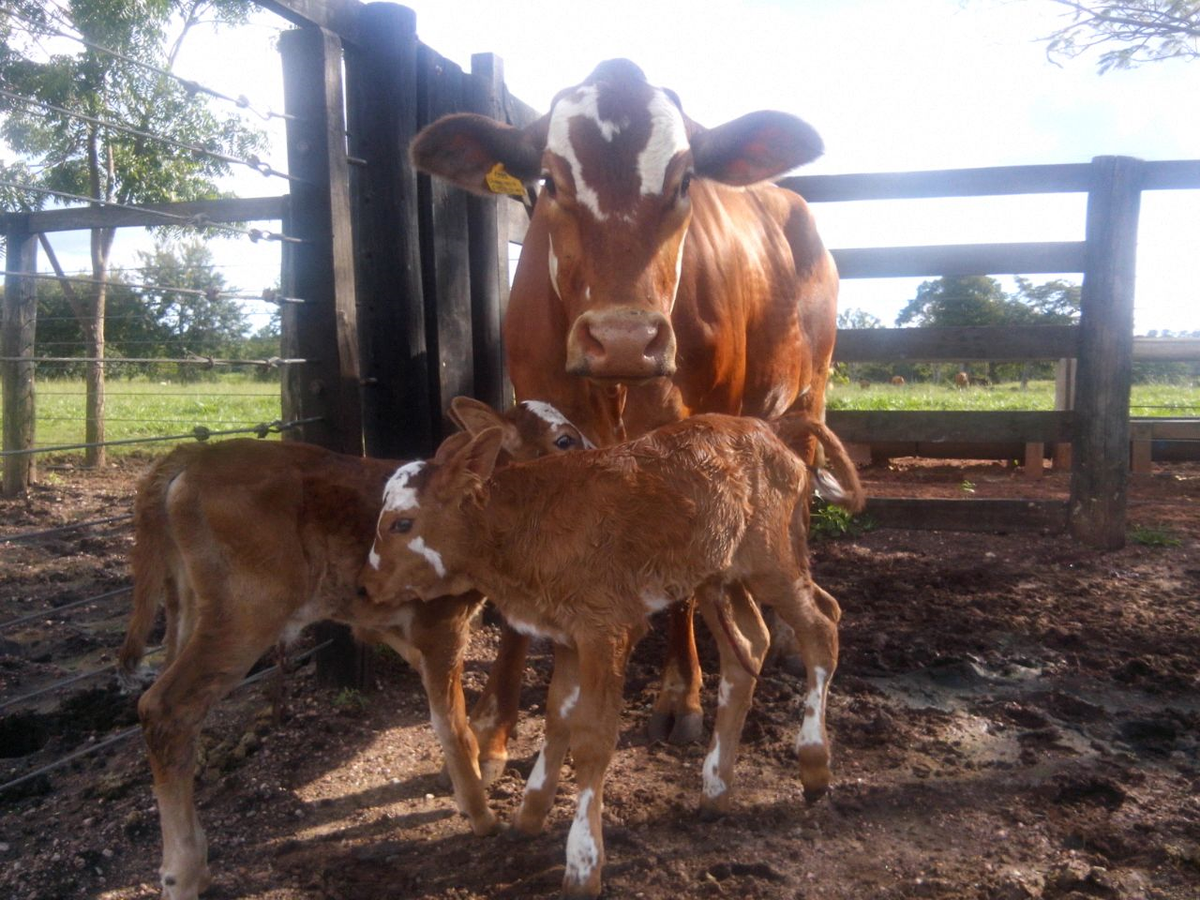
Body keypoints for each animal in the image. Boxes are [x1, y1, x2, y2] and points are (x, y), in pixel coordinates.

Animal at [119, 398, 590, 900]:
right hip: (246, 612)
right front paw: (480, 814)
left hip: (188, 607)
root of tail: (191, 456)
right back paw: (183, 870)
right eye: (564, 440)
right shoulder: (441, 624)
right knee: (164, 708)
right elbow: (450, 724)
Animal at [356, 412, 865, 899]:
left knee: (822, 624)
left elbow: (592, 738)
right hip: (720, 575)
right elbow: (557, 717)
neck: (519, 525)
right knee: (749, 647)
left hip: (774, 559)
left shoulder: (606, 629)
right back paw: (716, 789)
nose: (365, 586)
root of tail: (770, 427)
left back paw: (814, 764)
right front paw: (530, 812)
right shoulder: (564, 634)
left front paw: (583, 863)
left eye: (402, 523)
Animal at [410, 58, 837, 770]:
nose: (623, 338)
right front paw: (496, 725)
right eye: (549, 181)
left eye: (685, 179)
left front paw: (680, 696)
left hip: (810, 394)